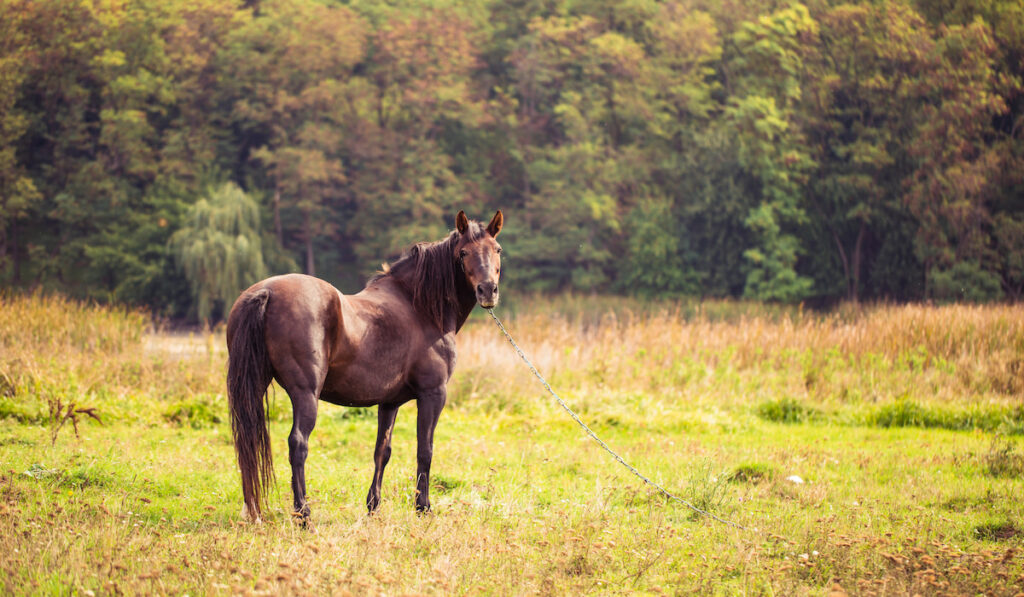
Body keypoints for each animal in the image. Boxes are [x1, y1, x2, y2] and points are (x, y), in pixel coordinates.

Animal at [230, 210, 505, 524]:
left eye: (497, 250)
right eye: (463, 253)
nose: (488, 290)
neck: (419, 307)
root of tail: (267, 291)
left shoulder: (389, 402)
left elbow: (382, 451)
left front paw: (373, 506)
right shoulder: (433, 394)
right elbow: (425, 450)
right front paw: (423, 507)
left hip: (254, 388)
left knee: (247, 442)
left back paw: (253, 510)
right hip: (305, 394)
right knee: (298, 444)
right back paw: (303, 514)